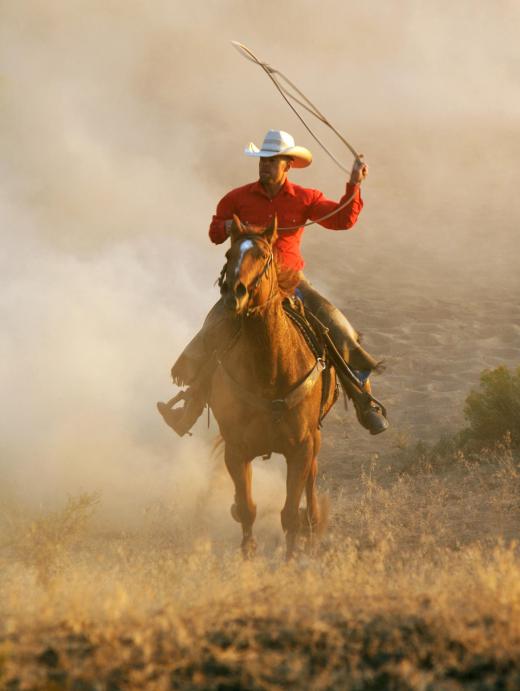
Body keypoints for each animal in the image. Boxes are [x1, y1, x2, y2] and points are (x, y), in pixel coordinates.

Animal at [208, 218, 338, 564]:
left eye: (263, 255)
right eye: (228, 253)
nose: (234, 293)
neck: (269, 371)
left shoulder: (301, 447)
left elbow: (290, 512)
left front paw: (291, 558)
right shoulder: (236, 448)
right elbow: (247, 507)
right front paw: (247, 555)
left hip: (315, 439)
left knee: (311, 479)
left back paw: (313, 526)